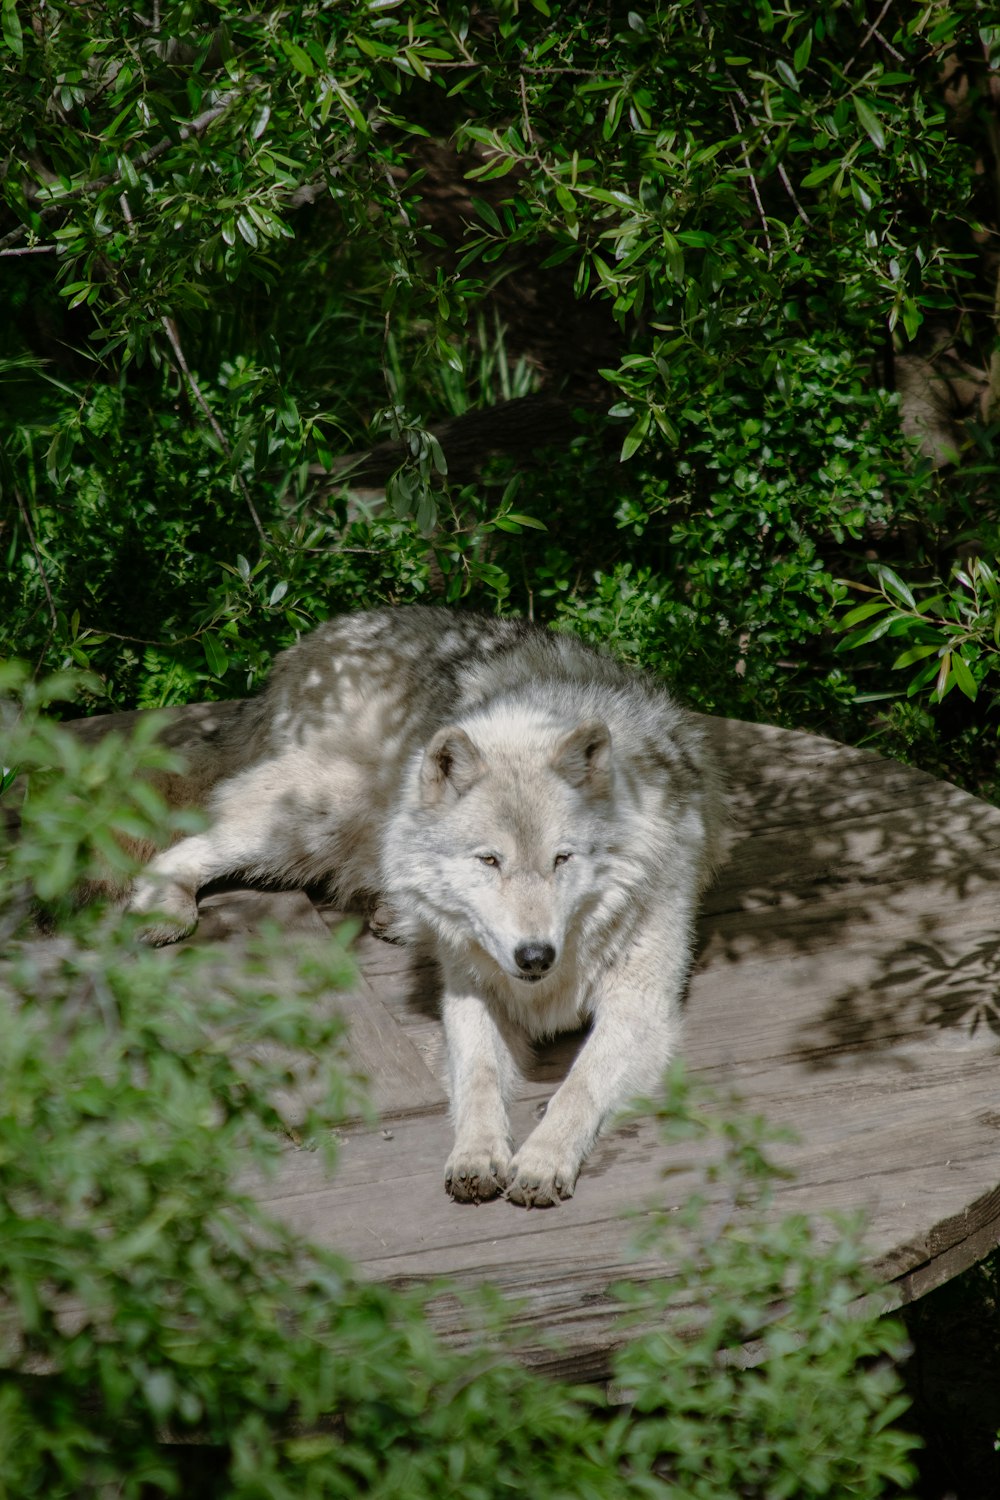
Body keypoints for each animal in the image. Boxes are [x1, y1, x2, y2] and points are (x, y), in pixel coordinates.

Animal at [128, 606, 719, 1206]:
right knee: (184, 845)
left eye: (562, 859)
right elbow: (479, 1076)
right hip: (314, 817)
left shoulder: (637, 1007)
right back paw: (165, 908)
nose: (535, 957)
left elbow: (579, 1085)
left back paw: (393, 918)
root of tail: (311, 642)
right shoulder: (472, 994)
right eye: (489, 861)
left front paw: (542, 1159)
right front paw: (477, 1152)